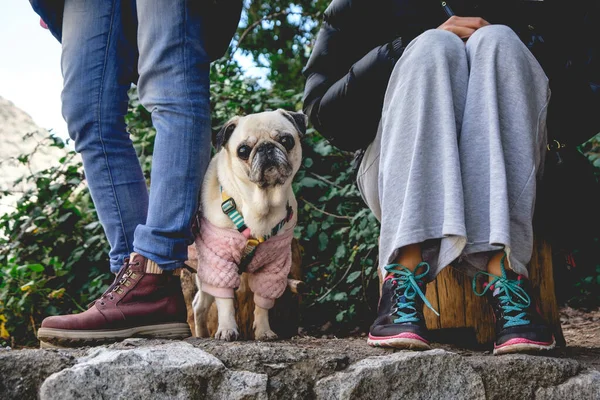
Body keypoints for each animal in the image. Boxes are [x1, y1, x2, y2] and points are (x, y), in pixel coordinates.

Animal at [192, 109, 304, 340]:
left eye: (286, 140)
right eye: (243, 150)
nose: (266, 147)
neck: (261, 205)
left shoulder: (273, 265)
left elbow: (262, 304)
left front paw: (264, 330)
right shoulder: (218, 261)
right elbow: (224, 301)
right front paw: (227, 329)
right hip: (204, 271)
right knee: (200, 304)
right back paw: (201, 334)